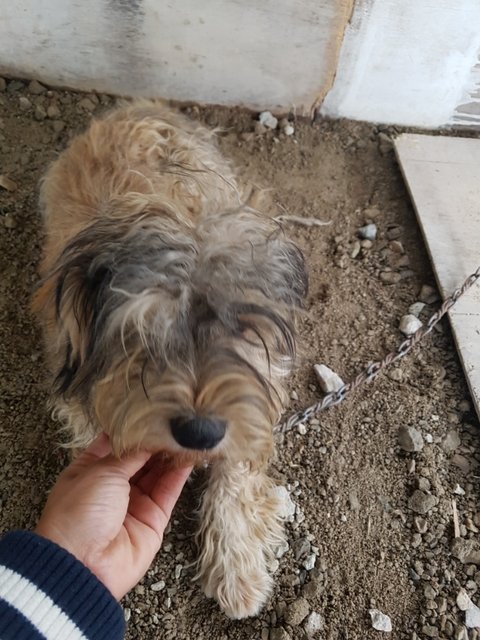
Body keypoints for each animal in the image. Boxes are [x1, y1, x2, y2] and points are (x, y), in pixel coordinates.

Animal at [32, 100, 308, 619]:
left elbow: (238, 466)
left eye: (241, 326)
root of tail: (134, 106)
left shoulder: (256, 397)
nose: (199, 432)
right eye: (142, 329)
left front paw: (236, 565)